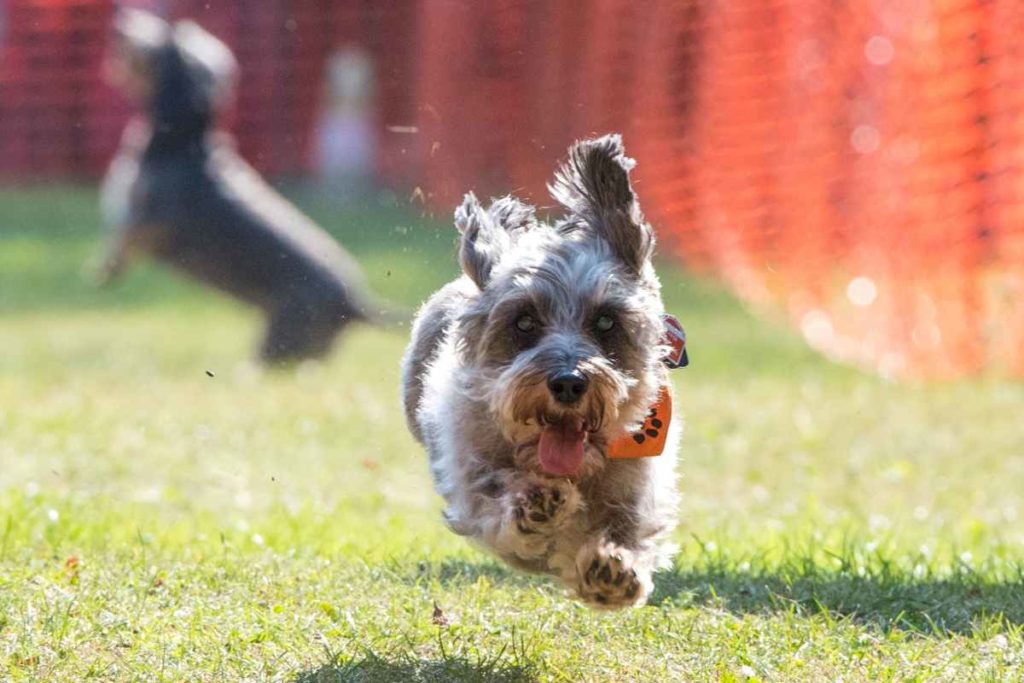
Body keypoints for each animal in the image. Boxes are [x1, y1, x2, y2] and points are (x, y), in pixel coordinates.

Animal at [97, 9, 380, 362]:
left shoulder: (150, 218)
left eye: (166, 36)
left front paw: (104, 271)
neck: (182, 141)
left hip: (283, 335)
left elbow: (124, 239)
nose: (124, 16)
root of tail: (356, 304)